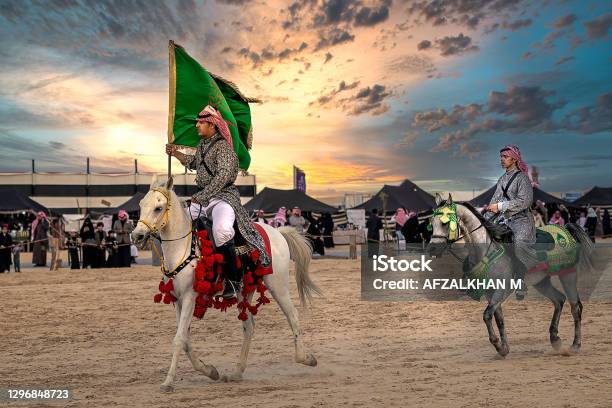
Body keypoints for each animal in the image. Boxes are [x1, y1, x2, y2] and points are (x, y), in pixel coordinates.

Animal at [130, 175, 320, 392]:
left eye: (158, 208)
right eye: (141, 205)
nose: (136, 235)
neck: (182, 248)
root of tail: (277, 232)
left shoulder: (189, 298)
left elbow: (179, 340)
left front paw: (168, 382)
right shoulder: (177, 300)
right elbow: (185, 340)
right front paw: (210, 371)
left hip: (278, 286)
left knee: (293, 316)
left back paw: (306, 358)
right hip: (244, 291)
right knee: (249, 326)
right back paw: (237, 372)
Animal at [426, 193, 592, 356]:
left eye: (445, 223)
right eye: (432, 223)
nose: (432, 248)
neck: (487, 250)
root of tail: (566, 229)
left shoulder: (502, 290)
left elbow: (487, 315)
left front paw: (497, 344)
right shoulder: (490, 292)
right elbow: (499, 319)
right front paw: (504, 347)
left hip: (567, 275)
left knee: (575, 307)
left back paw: (575, 345)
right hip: (541, 281)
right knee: (559, 300)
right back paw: (555, 338)